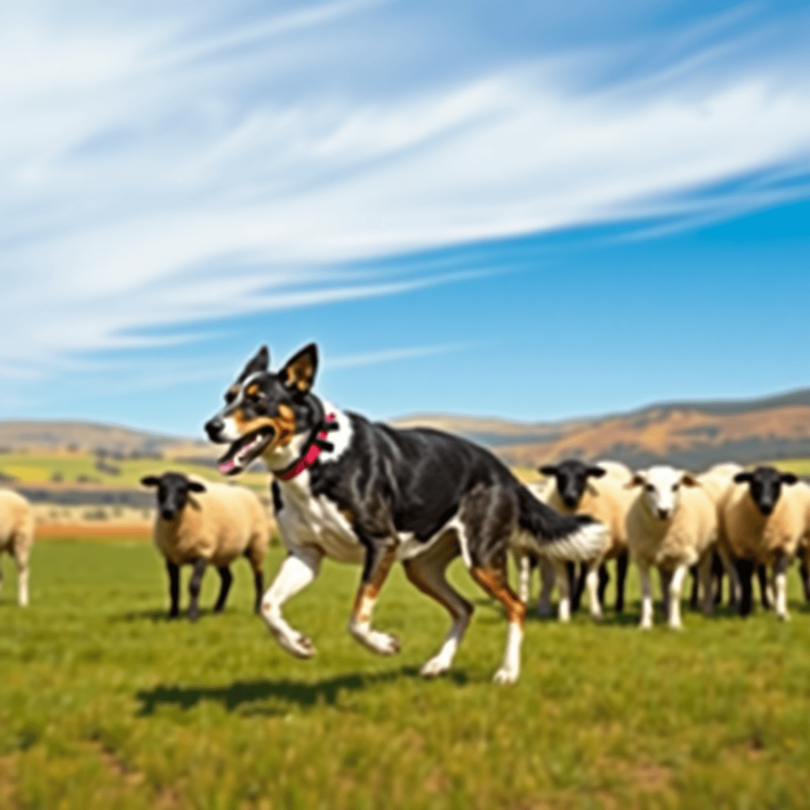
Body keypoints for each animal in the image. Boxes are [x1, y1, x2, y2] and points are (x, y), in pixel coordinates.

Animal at [140, 468, 270, 620]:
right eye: (161, 487)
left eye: (183, 490)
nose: (168, 510)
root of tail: (250, 493)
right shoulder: (171, 557)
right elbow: (174, 587)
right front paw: (172, 615)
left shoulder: (202, 552)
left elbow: (194, 585)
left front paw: (192, 615)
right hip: (221, 552)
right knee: (228, 578)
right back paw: (218, 609)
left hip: (257, 544)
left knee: (258, 577)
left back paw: (257, 610)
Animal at [205, 342, 604, 680]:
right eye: (228, 397)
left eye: (258, 400)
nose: (211, 426)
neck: (314, 453)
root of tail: (503, 471)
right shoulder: (307, 554)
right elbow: (268, 605)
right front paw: (298, 646)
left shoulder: (381, 542)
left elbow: (357, 619)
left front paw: (384, 645)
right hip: (421, 567)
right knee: (465, 608)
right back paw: (439, 664)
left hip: (481, 557)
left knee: (516, 607)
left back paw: (508, 672)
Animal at [620, 464, 716, 628]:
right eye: (649, 487)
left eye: (675, 486)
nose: (663, 511)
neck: (661, 532)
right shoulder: (642, 558)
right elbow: (647, 590)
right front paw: (645, 623)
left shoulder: (685, 557)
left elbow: (674, 589)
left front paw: (675, 623)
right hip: (665, 560)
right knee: (664, 583)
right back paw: (666, 610)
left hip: (704, 551)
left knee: (705, 577)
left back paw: (707, 609)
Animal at [712, 468, 808, 620]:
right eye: (755, 483)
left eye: (777, 483)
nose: (766, 505)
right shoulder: (745, 549)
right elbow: (745, 581)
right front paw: (745, 610)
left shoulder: (782, 549)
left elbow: (779, 582)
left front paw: (782, 613)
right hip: (727, 549)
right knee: (735, 577)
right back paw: (736, 602)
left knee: (764, 578)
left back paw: (767, 603)